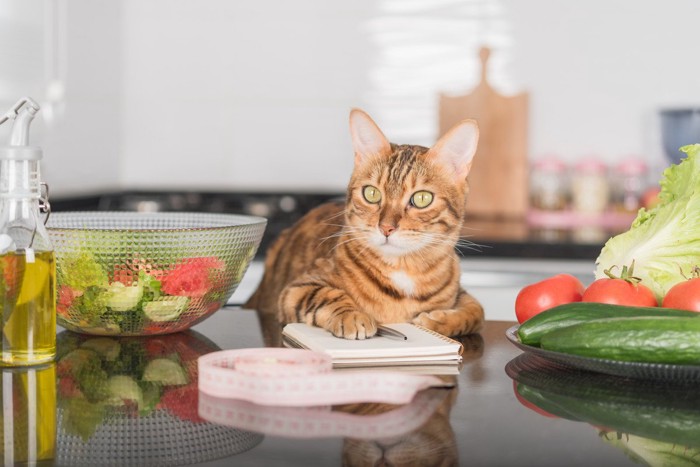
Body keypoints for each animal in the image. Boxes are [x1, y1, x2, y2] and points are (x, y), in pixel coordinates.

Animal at [243, 109, 484, 340]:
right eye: (371, 193)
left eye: (422, 198)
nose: (386, 228)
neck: (403, 271)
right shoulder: (295, 289)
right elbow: (325, 294)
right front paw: (352, 315)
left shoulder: (460, 292)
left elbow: (477, 312)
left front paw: (437, 321)